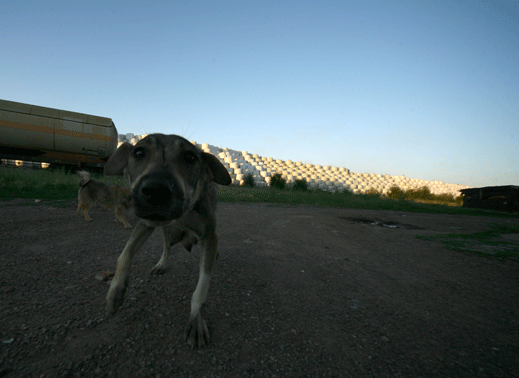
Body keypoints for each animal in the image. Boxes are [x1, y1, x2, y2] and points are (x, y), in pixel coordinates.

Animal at [103, 134, 232, 348]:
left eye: (189, 157)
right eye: (139, 152)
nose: (155, 189)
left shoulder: (209, 235)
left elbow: (202, 286)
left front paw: (196, 319)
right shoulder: (145, 223)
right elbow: (124, 254)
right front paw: (115, 291)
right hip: (165, 230)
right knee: (166, 245)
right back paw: (162, 264)